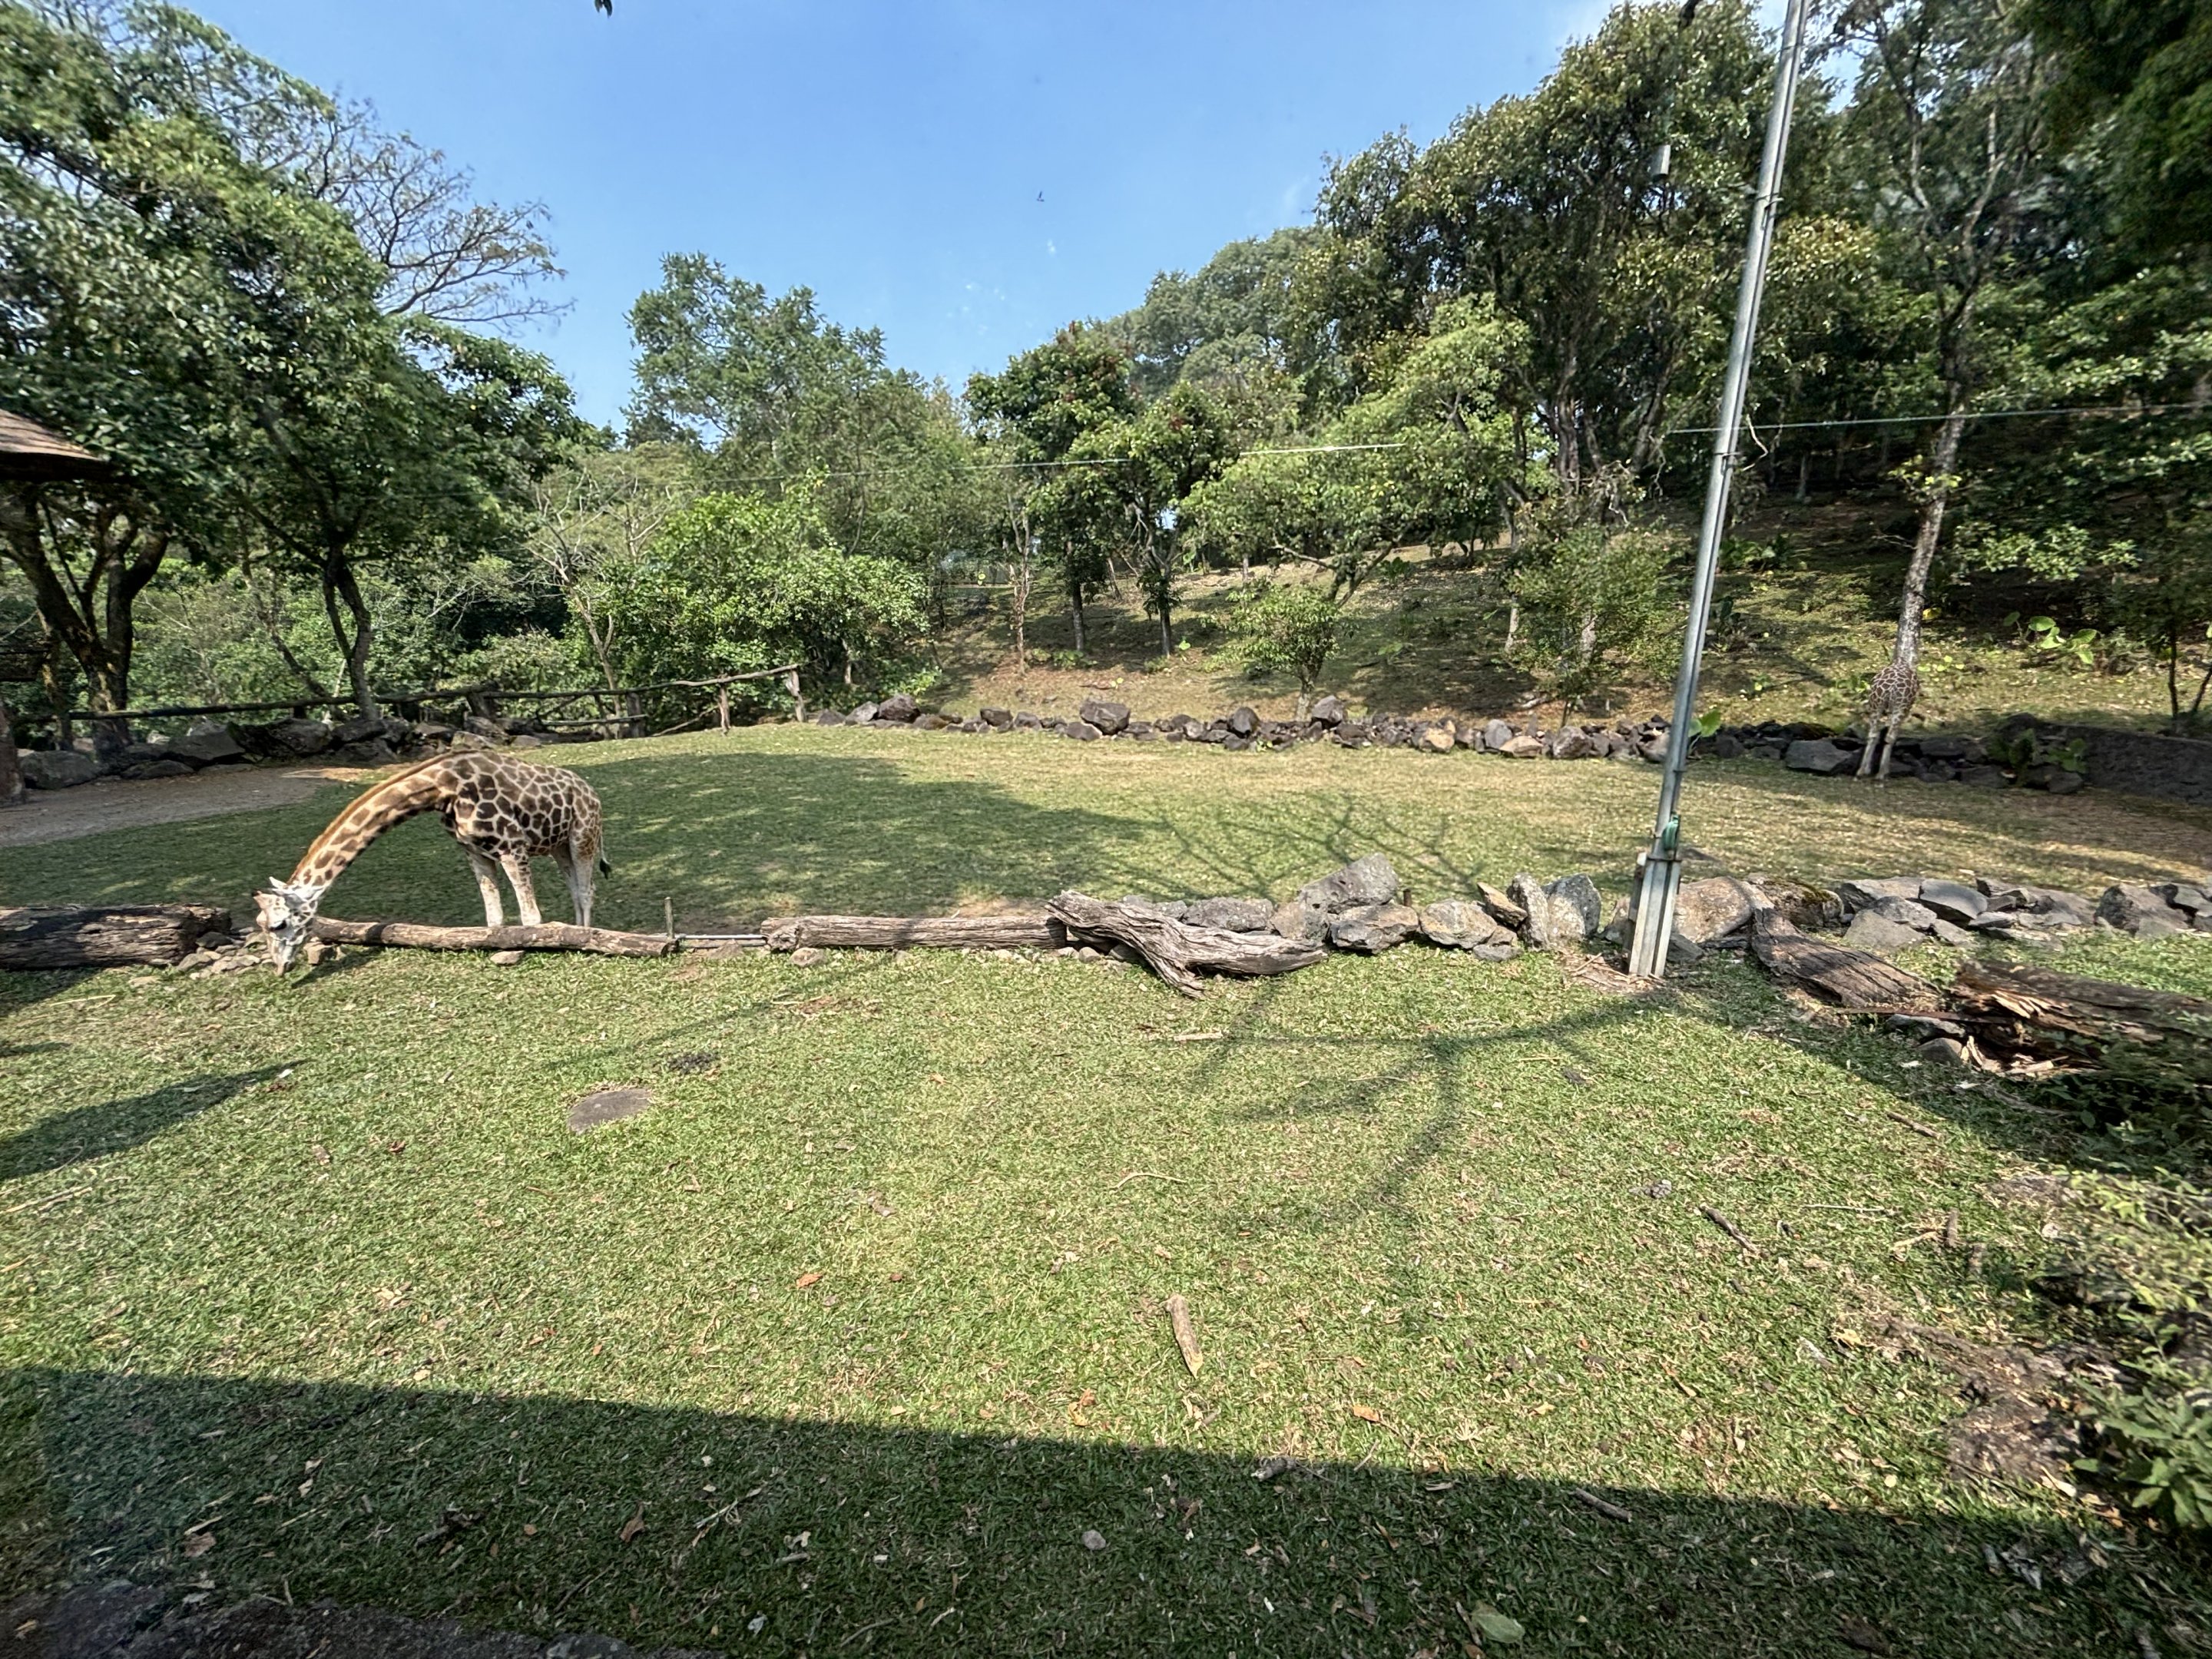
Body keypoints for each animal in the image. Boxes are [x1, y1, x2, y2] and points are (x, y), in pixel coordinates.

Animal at [254, 751, 607, 969]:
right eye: (259, 923)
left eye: (278, 924)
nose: (281, 968)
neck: (441, 789)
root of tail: (591, 793)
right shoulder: (473, 850)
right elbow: (494, 918)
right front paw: (502, 948)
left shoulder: (512, 844)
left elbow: (530, 917)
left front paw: (526, 948)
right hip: (557, 845)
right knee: (576, 887)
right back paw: (578, 933)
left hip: (582, 834)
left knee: (586, 888)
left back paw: (585, 938)